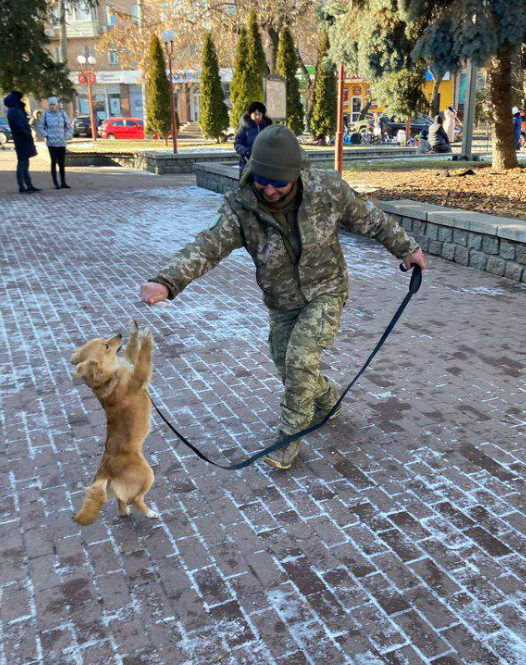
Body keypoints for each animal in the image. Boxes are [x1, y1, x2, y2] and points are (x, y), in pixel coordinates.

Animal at [71, 320, 160, 528]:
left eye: (106, 341)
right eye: (106, 346)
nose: (119, 334)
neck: (109, 378)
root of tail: (105, 472)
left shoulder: (129, 361)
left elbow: (132, 349)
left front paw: (135, 330)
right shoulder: (139, 376)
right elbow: (144, 356)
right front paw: (147, 338)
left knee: (121, 498)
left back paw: (124, 512)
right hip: (147, 473)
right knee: (135, 499)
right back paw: (150, 513)